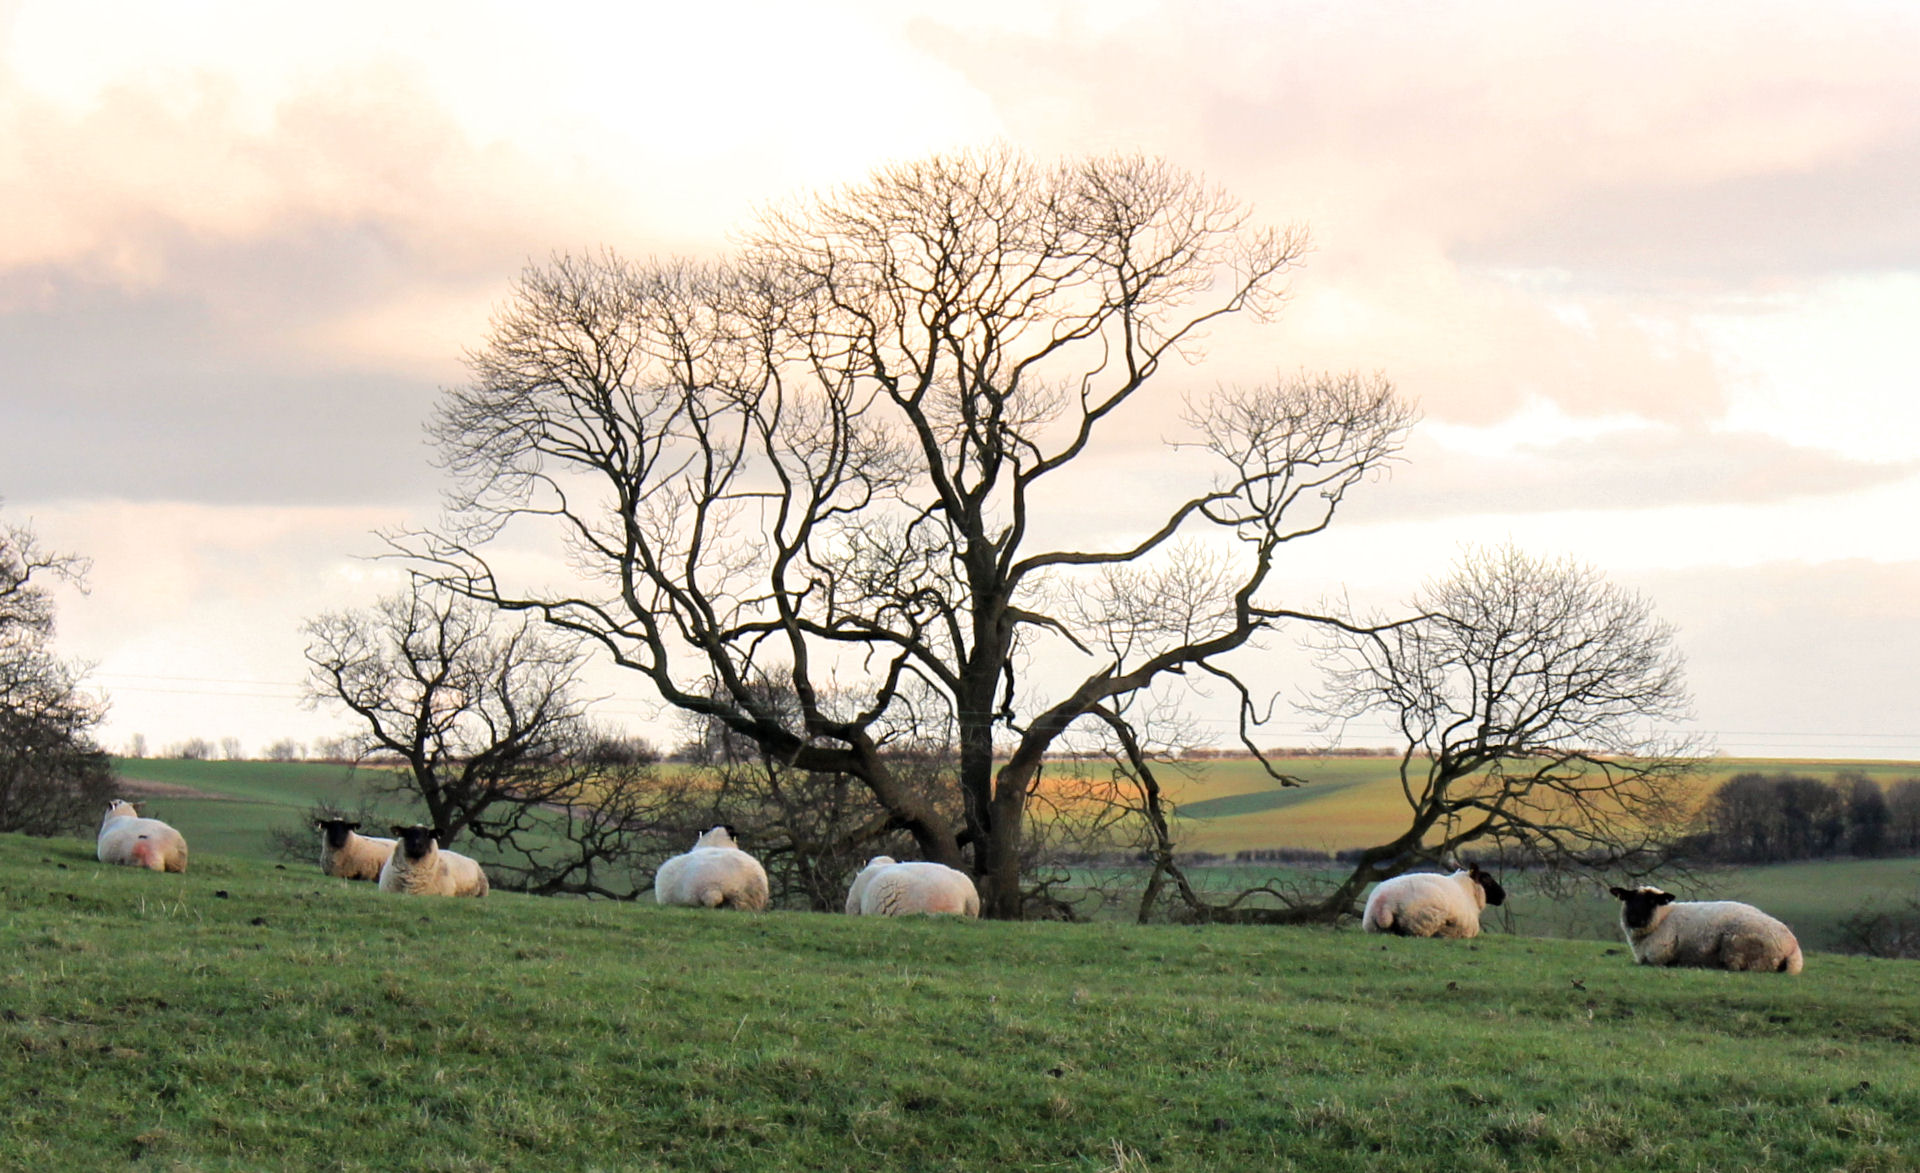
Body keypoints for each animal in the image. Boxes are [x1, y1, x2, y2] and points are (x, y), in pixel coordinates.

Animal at [1362, 863, 1506, 938]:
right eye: (1486, 879)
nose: (1503, 895)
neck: (1467, 890)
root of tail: (1383, 903)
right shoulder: (1469, 928)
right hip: (1425, 919)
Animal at [1609, 885, 1803, 974]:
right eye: (1628, 899)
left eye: (1651, 902)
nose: (1634, 919)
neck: (1662, 918)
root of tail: (1793, 947)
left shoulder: (1657, 957)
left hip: (1737, 946)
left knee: (1736, 967)